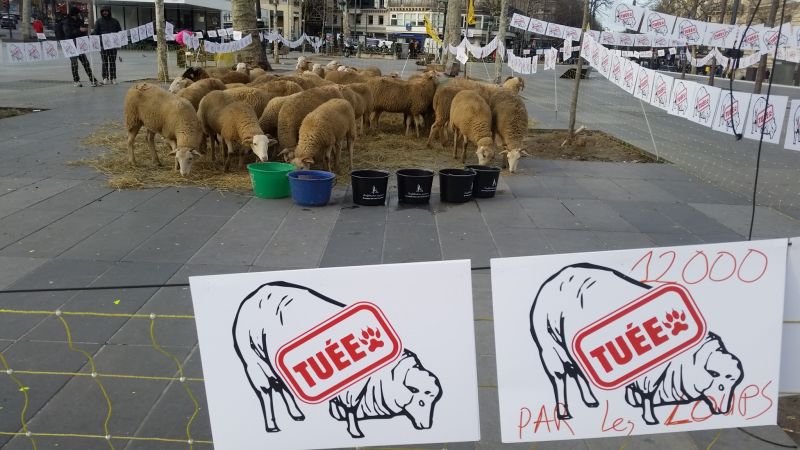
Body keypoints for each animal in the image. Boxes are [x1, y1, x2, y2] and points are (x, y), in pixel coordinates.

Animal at [232, 281, 442, 437]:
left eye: (434, 401)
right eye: (421, 402)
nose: (426, 426)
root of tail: (256, 294)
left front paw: (338, 416)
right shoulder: (351, 388)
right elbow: (351, 408)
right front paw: (355, 431)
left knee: (282, 385)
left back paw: (296, 414)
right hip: (255, 361)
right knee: (265, 391)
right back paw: (272, 425)